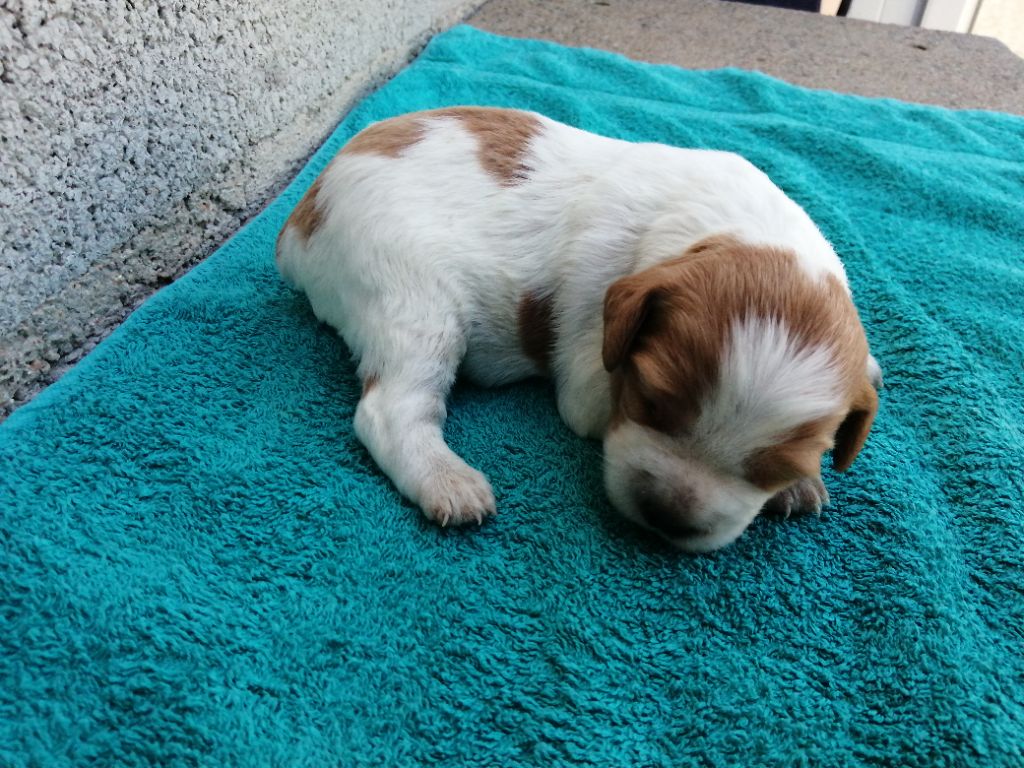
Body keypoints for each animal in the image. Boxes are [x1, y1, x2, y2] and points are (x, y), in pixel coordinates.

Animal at [276, 107, 880, 552]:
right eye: (649, 400)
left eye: (776, 465)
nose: (666, 515)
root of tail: (302, 214)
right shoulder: (590, 371)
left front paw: (803, 483)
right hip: (414, 299)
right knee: (389, 410)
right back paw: (449, 482)